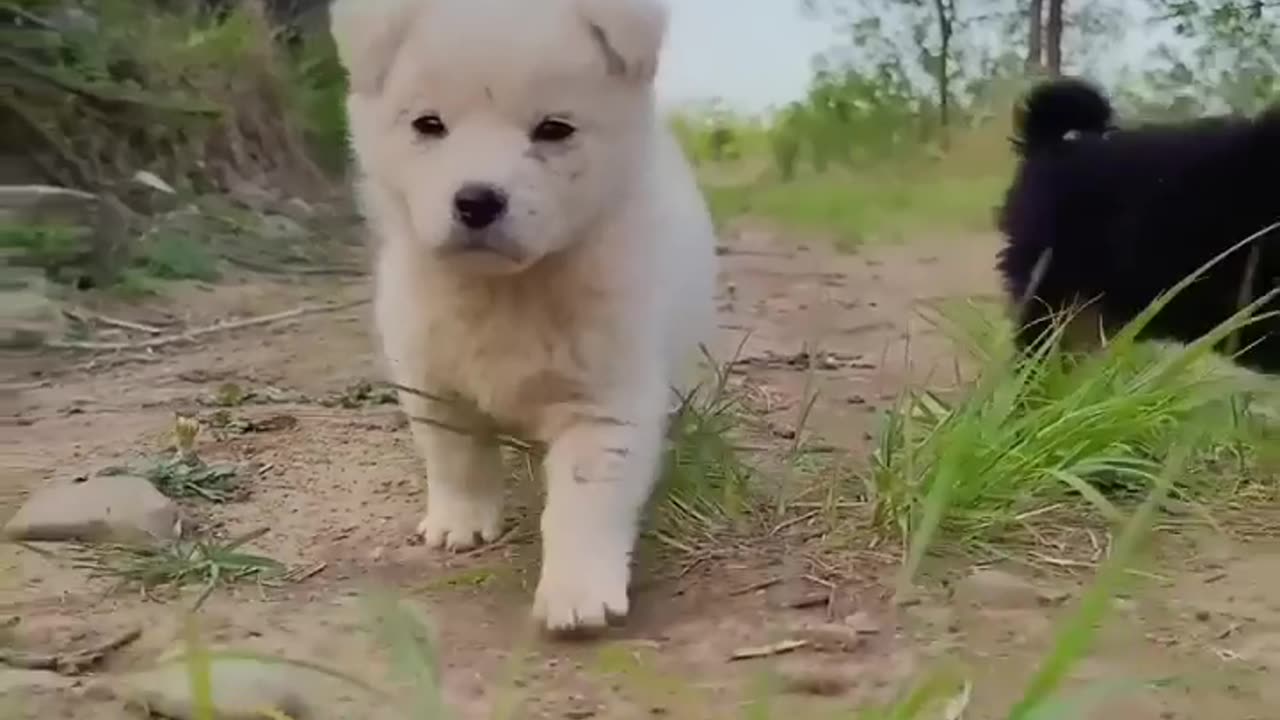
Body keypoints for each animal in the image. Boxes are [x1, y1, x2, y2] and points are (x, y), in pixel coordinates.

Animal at [330, 0, 721, 627]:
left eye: (554, 129)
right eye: (428, 124)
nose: (477, 200)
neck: (505, 291)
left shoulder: (603, 400)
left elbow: (585, 499)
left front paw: (578, 591)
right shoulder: (430, 377)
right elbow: (456, 455)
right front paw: (460, 522)